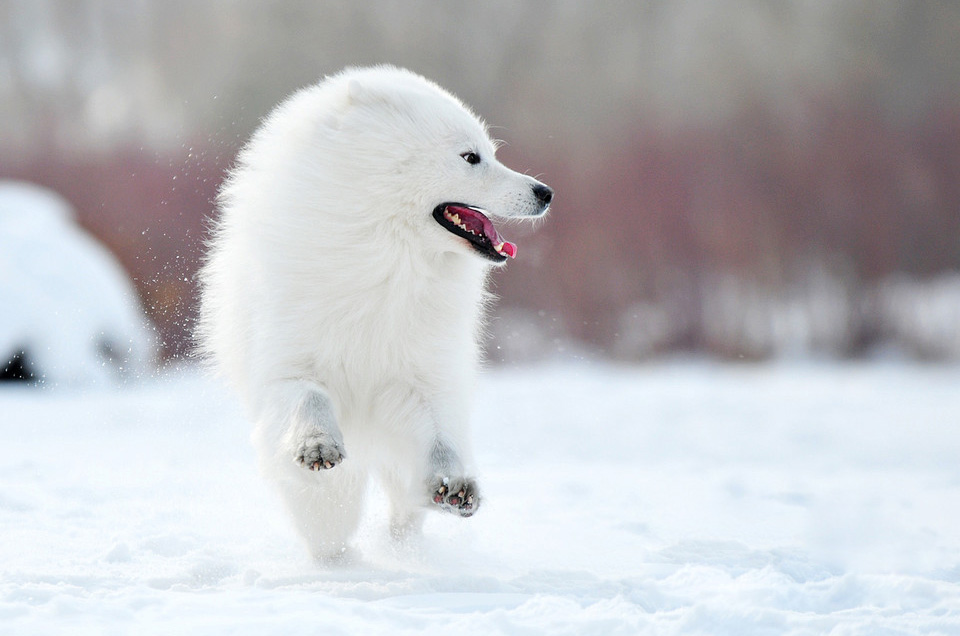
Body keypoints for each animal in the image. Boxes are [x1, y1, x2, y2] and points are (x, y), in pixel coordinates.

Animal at [199, 67, 552, 560]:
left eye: (490, 152)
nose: (546, 192)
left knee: (403, 510)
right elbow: (307, 396)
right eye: (470, 157)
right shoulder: (285, 361)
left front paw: (455, 483)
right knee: (326, 520)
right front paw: (318, 445)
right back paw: (335, 558)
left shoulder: (418, 376)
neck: (388, 258)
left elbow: (438, 434)